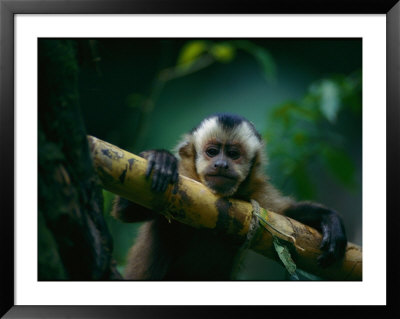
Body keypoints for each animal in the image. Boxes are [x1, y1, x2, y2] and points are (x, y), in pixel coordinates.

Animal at [110, 114, 346, 282]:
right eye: (212, 152)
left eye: (233, 154)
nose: (221, 164)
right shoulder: (185, 180)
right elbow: (126, 210)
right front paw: (161, 159)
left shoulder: (257, 193)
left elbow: (285, 218)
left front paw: (329, 220)